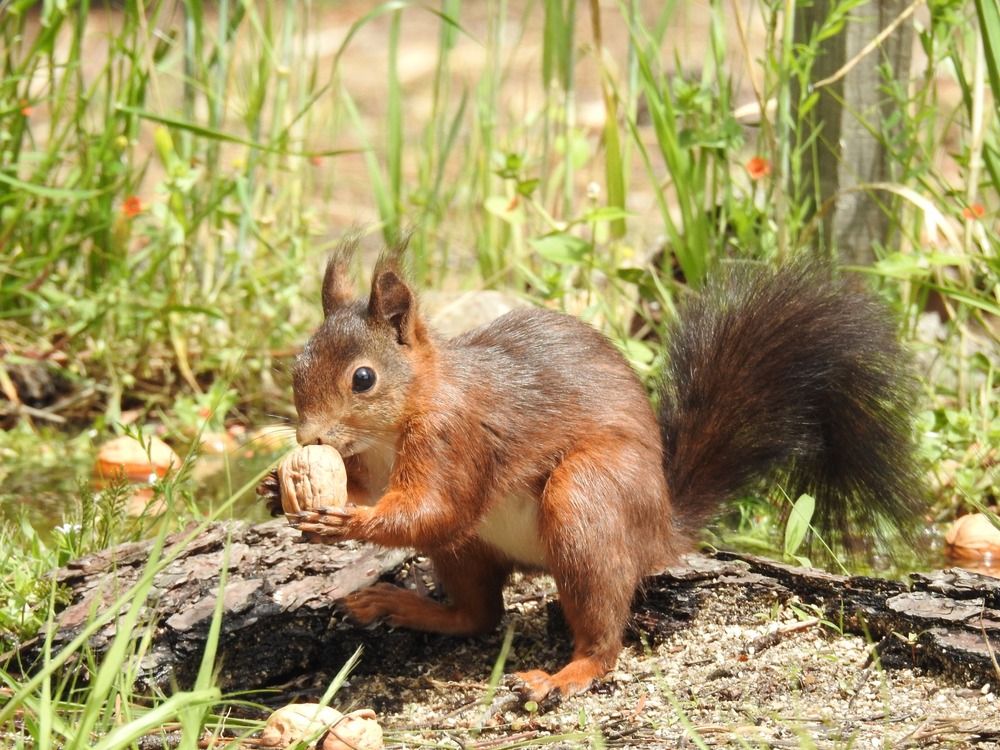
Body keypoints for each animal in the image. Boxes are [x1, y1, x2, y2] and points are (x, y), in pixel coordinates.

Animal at [278, 241, 923, 701]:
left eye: (363, 378)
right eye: (297, 364)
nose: (309, 437)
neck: (398, 422)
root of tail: (662, 528)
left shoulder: (455, 438)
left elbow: (434, 509)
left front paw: (343, 519)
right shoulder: (370, 462)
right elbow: (383, 495)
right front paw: (278, 489)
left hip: (587, 498)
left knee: (599, 635)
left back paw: (565, 674)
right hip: (470, 550)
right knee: (477, 615)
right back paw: (397, 605)